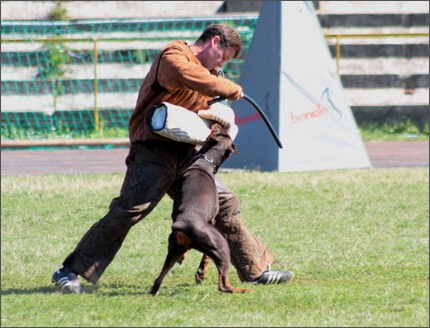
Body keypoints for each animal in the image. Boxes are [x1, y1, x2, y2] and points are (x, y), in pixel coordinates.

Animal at [150, 122, 254, 294]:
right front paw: (201, 272)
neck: (205, 162)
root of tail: (182, 226)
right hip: (221, 246)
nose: (220, 123)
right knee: (223, 284)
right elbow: (205, 258)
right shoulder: (212, 219)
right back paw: (243, 290)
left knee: (159, 278)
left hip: (173, 250)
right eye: (223, 131)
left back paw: (155, 290)